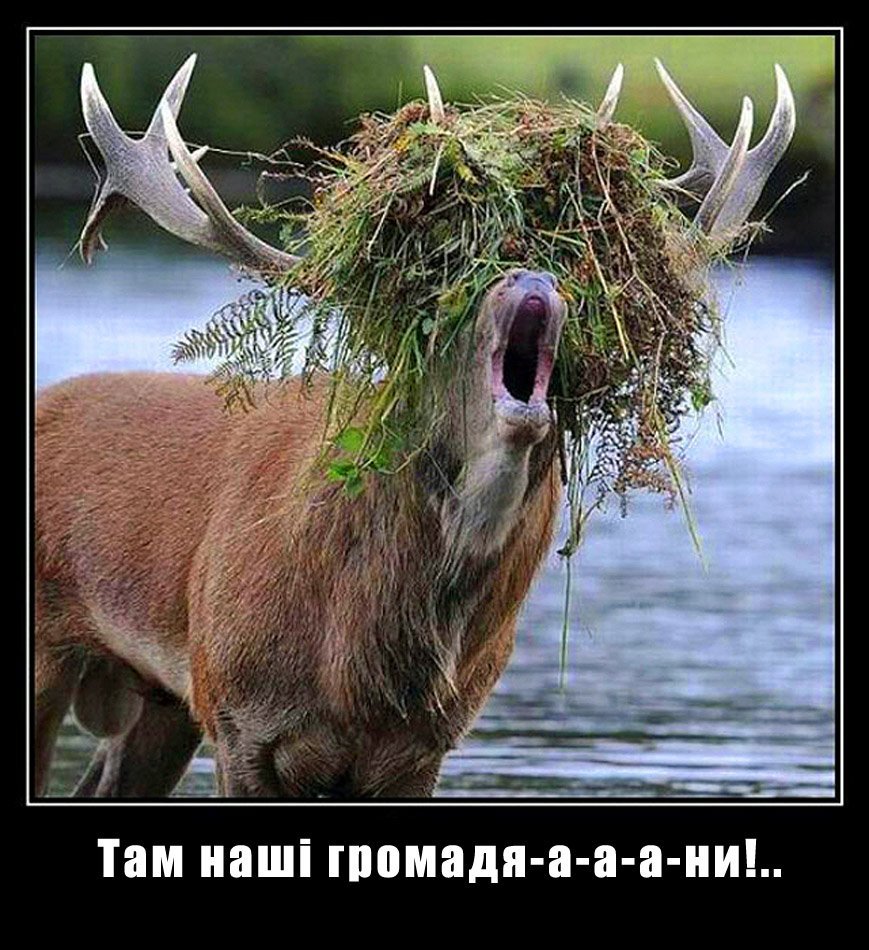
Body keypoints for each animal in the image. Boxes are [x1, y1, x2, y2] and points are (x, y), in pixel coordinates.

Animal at [34, 55, 795, 798]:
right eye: (449, 281)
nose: (532, 275)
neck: (360, 663)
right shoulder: (237, 715)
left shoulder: (419, 748)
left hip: (156, 702)